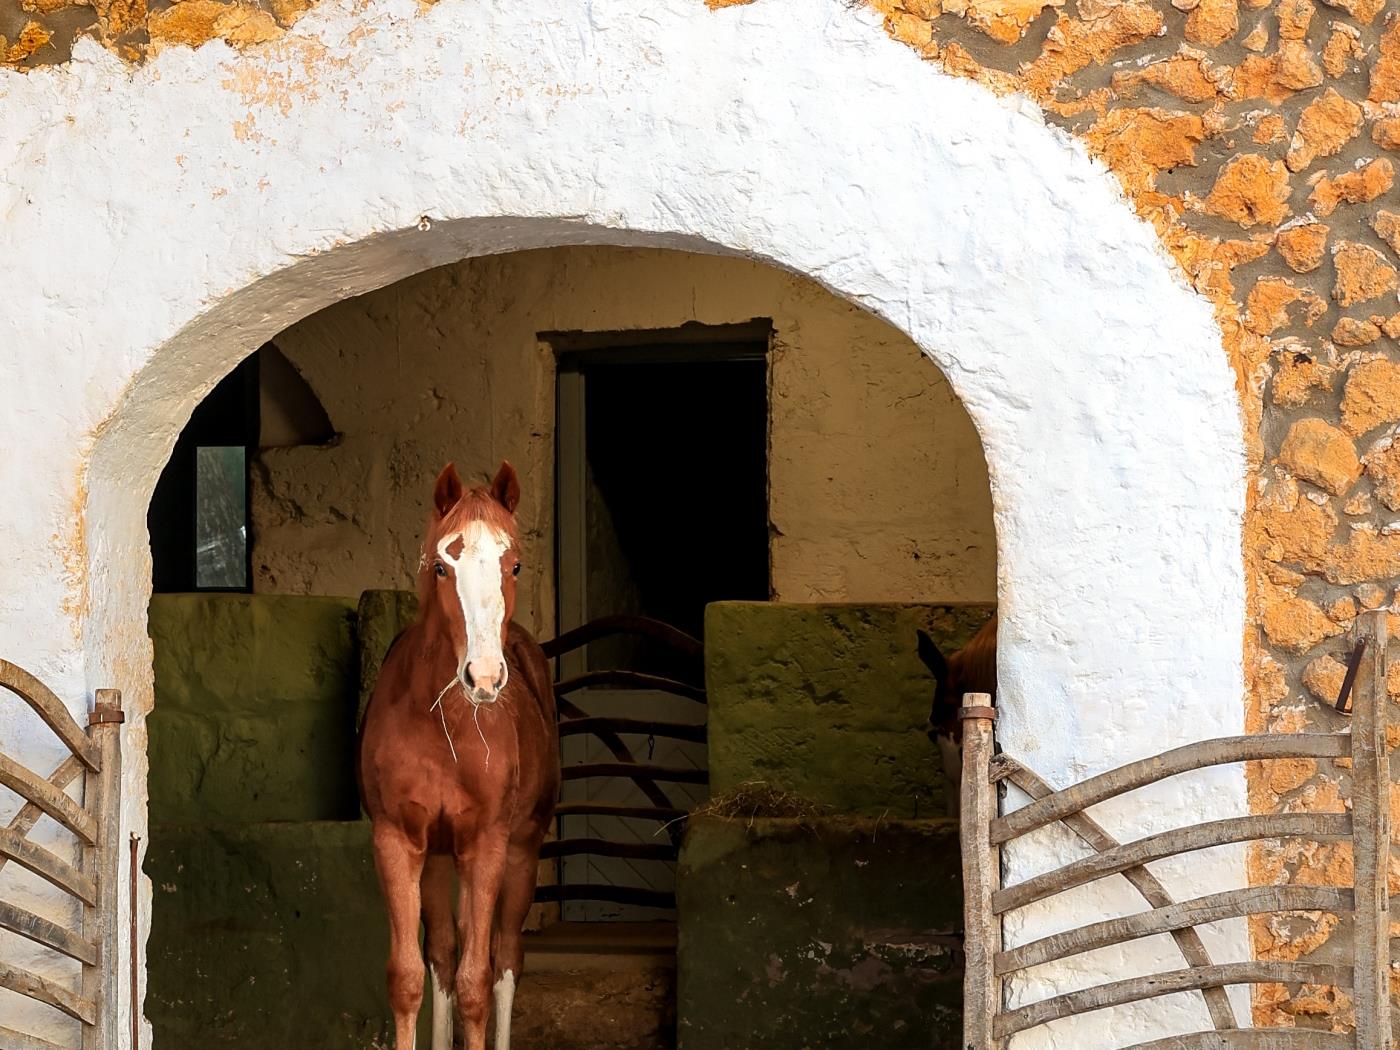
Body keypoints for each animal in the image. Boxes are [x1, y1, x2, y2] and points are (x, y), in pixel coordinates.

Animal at [358, 462, 560, 1050]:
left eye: (514, 564)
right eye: (442, 568)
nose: (484, 678)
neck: (443, 727)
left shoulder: (487, 843)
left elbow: (476, 985)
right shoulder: (399, 840)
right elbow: (409, 977)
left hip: (519, 852)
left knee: (505, 959)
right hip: (441, 857)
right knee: (445, 956)